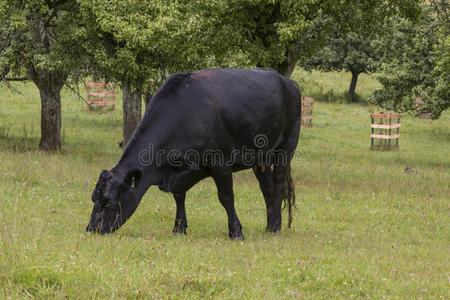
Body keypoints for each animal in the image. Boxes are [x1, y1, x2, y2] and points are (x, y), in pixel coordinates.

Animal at [86, 68, 300, 239]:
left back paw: (275, 227)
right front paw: (179, 228)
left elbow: (226, 196)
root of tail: (288, 81)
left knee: (279, 184)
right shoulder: (178, 170)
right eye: (94, 198)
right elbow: (179, 196)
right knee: (267, 187)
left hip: (286, 148)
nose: (91, 229)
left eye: (108, 202)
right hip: (260, 157)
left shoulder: (220, 161)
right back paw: (270, 225)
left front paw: (236, 231)